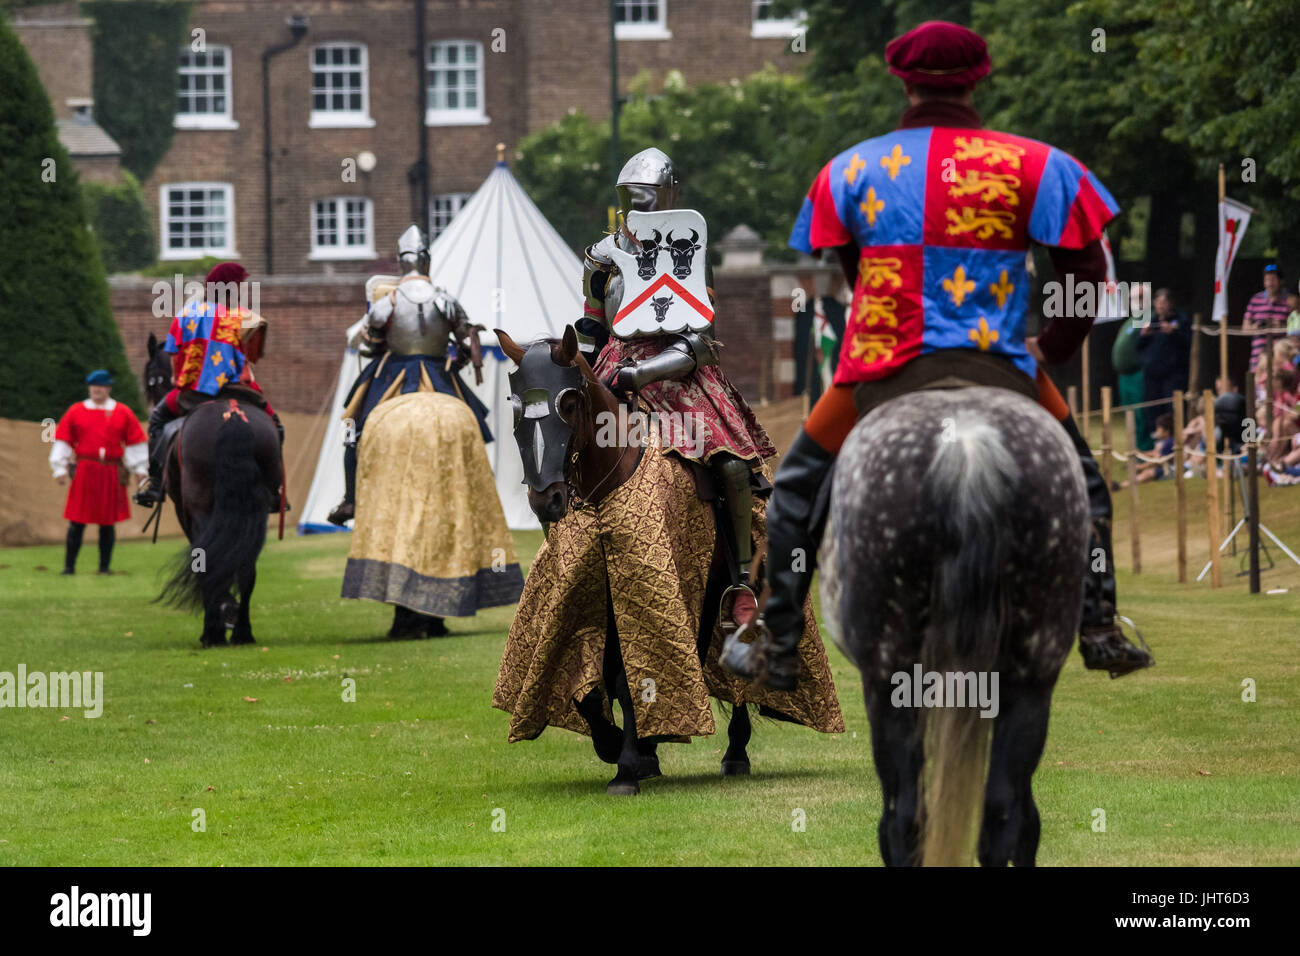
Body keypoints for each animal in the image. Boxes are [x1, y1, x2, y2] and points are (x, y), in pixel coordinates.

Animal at [141, 332, 282, 647]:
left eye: (153, 380)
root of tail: (233, 414)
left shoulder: (185, 513)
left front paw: (222, 611)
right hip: (257, 511)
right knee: (247, 568)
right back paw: (242, 632)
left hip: (201, 507)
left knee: (207, 562)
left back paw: (213, 632)